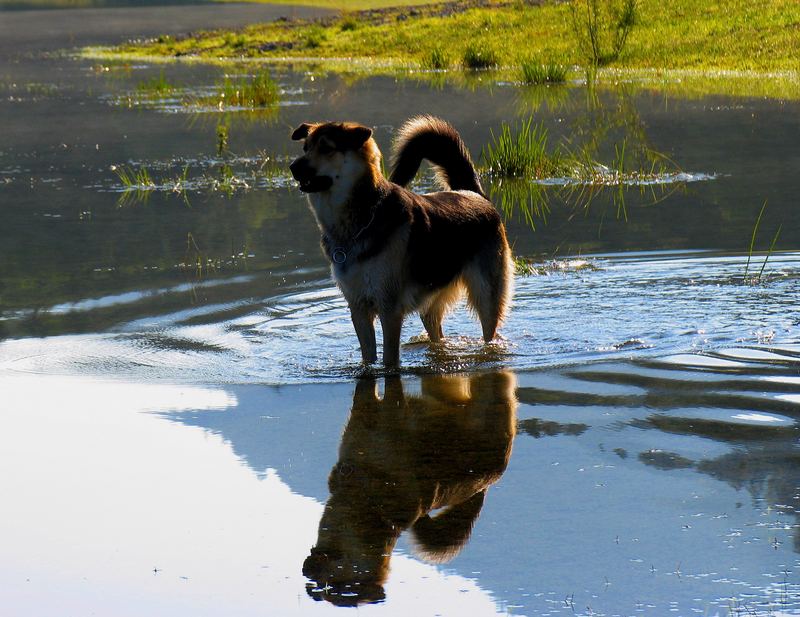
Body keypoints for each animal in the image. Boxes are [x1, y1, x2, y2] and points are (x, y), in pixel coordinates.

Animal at [290, 115, 512, 366]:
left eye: (326, 148)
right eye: (305, 148)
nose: (293, 167)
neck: (363, 215)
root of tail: (473, 193)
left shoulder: (389, 310)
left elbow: (389, 359)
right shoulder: (358, 309)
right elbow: (368, 356)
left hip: (487, 298)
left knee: (489, 331)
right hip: (431, 304)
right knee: (436, 332)